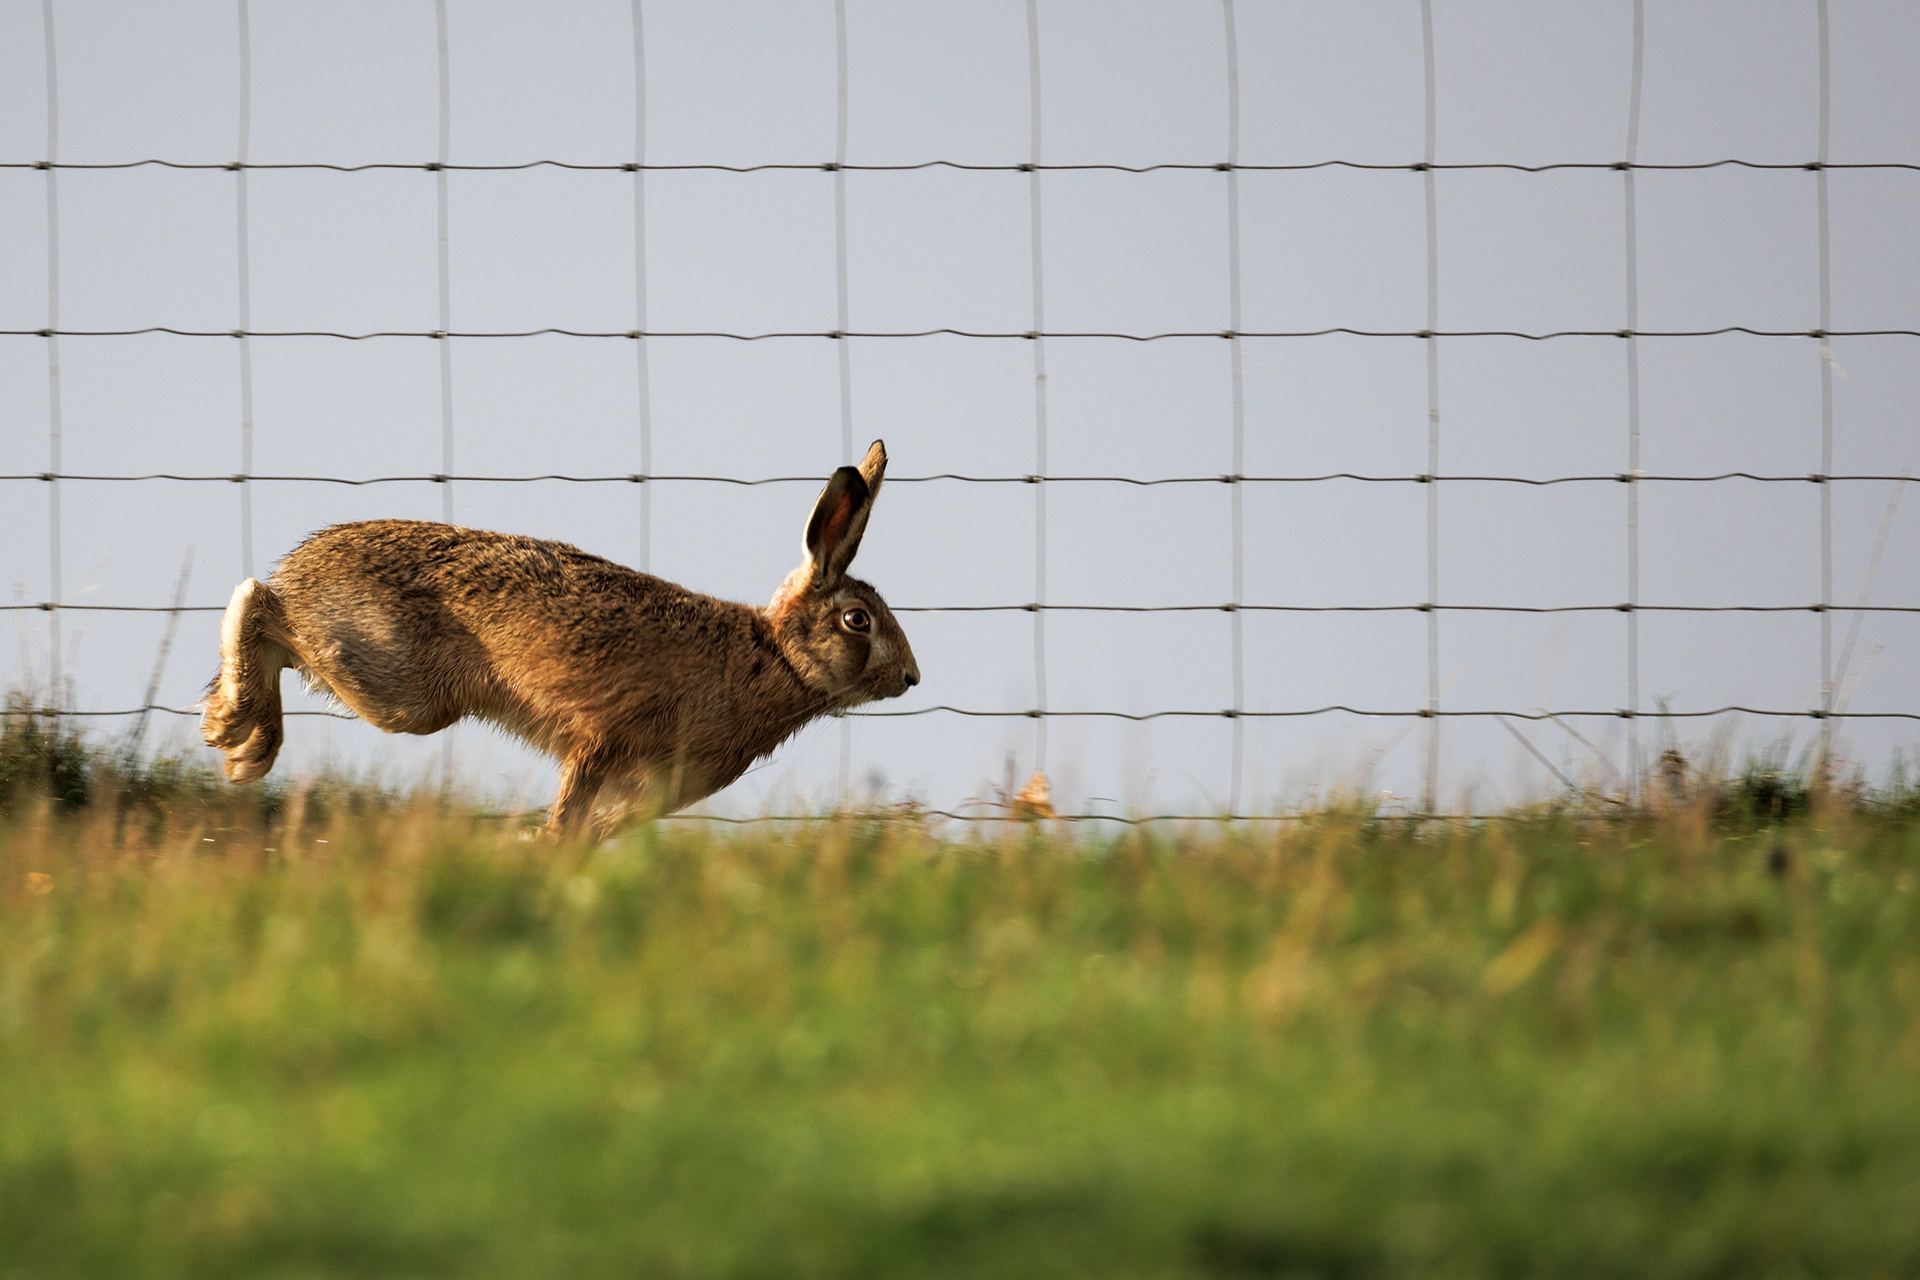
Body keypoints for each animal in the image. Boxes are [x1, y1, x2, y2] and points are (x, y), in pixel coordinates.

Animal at [201, 439, 918, 833]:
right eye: (858, 620)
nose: (912, 678)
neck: (776, 657)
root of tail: (305, 562)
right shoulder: (607, 739)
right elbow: (574, 807)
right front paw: (539, 851)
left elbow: (599, 829)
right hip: (396, 680)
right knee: (258, 603)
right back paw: (239, 734)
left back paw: (242, 737)